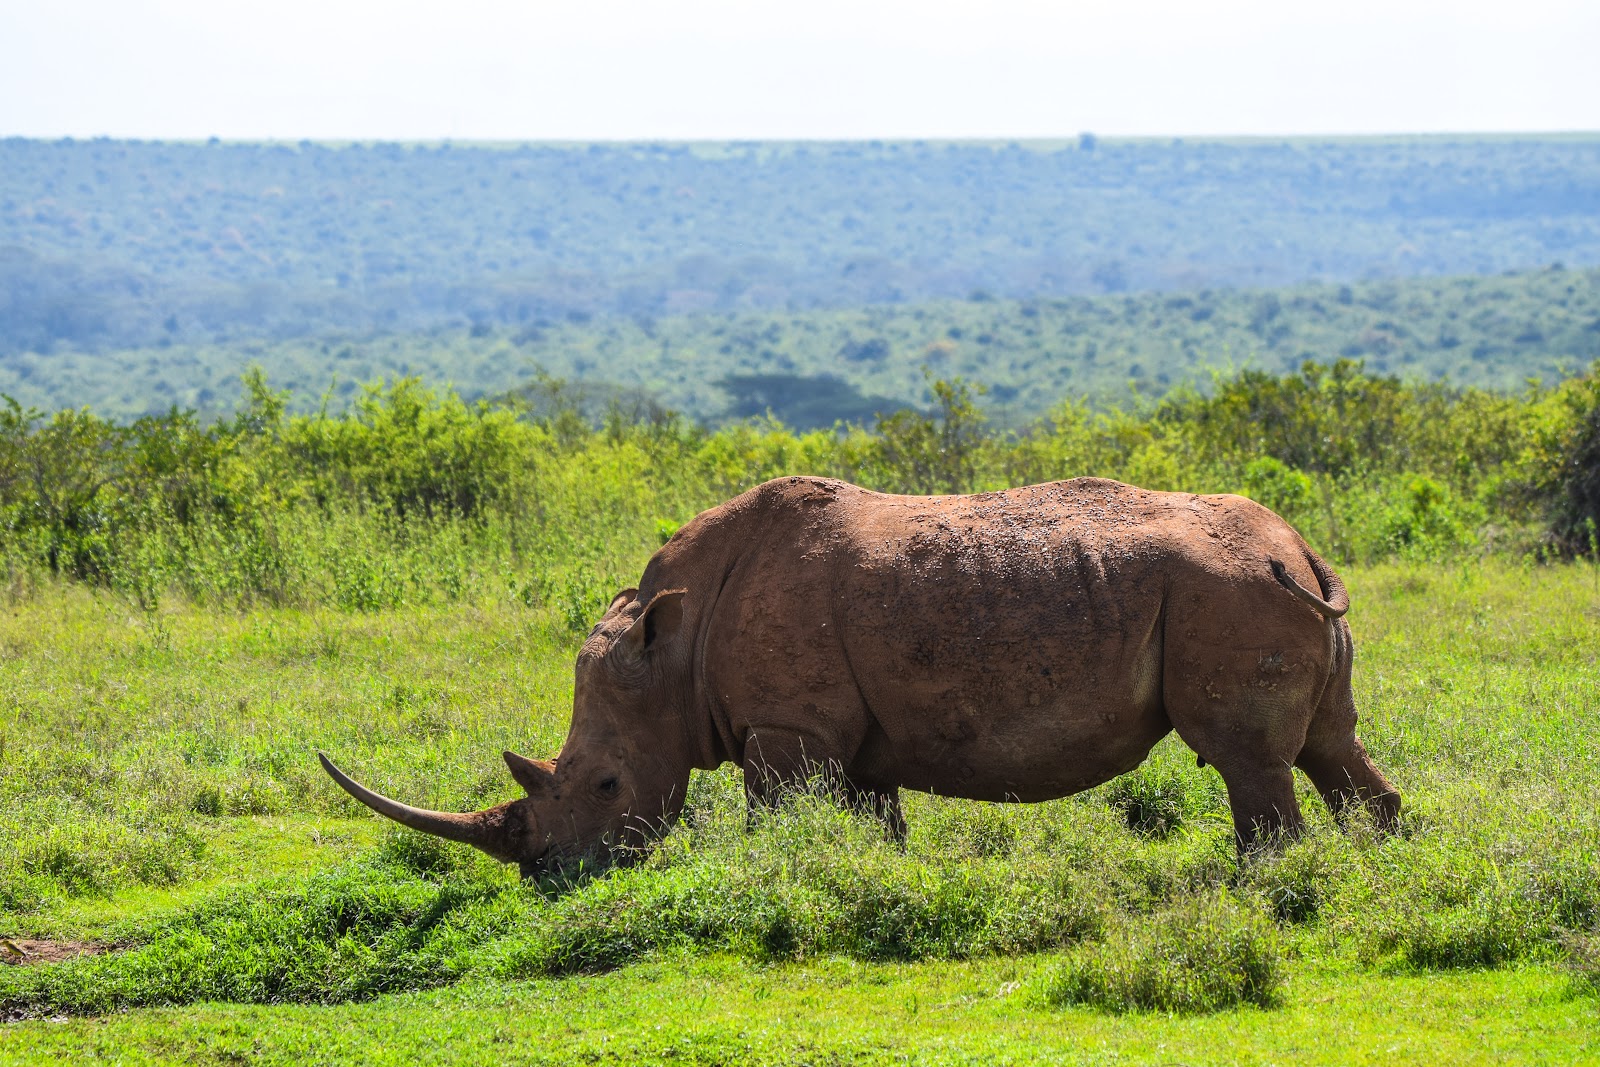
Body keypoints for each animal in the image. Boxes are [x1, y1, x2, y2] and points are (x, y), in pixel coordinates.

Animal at [321, 476, 1400, 876]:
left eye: (606, 784)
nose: (549, 873)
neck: (673, 645)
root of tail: (1302, 547)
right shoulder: (847, 735)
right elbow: (874, 820)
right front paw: (873, 885)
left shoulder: (785, 729)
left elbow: (776, 815)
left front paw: (770, 876)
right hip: (1264, 589)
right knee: (1329, 745)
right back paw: (1383, 864)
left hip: (1231, 589)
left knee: (1248, 759)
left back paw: (1259, 881)